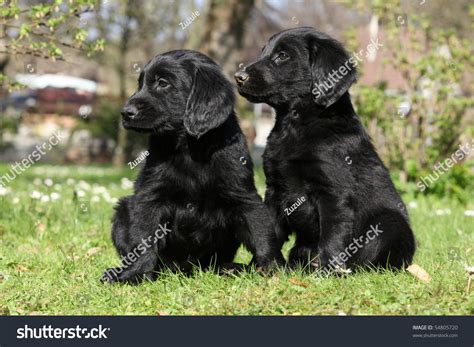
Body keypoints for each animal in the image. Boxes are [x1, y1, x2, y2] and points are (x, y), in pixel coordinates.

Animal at [101, 50, 284, 284]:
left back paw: (230, 268)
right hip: (124, 209)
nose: (125, 113)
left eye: (162, 83)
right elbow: (143, 240)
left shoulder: (244, 196)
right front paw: (136, 275)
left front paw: (275, 269)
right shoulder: (150, 198)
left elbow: (261, 233)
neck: (190, 147)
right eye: (140, 83)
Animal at [236, 27, 414, 272]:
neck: (296, 124)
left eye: (282, 56)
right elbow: (269, 228)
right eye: (264, 51)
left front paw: (330, 271)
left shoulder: (333, 192)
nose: (238, 76)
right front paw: (262, 268)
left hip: (388, 223)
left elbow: (332, 235)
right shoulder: (274, 188)